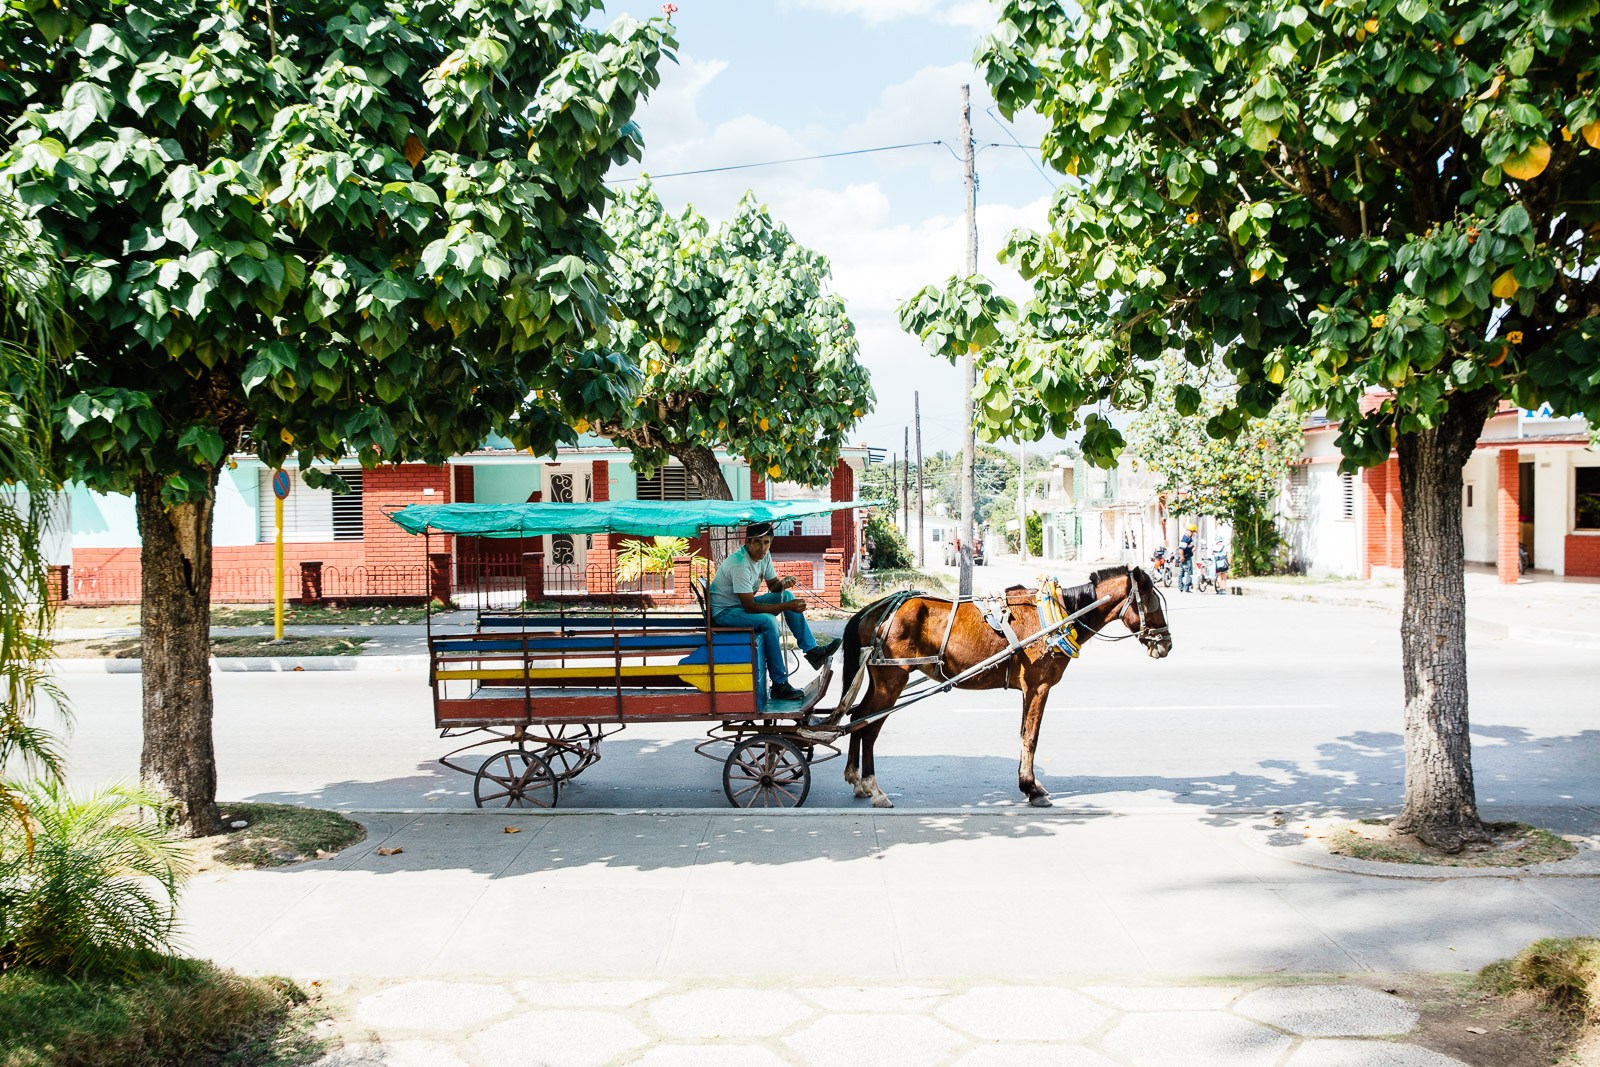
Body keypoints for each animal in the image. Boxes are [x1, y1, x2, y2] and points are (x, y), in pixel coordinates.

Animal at [832, 566, 1171, 809]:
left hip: (880, 680)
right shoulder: (1038, 686)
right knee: (868, 728)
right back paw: (875, 789)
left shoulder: (1029, 689)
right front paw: (1032, 789)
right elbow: (1031, 737)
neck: (1058, 617)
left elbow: (1023, 734)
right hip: (892, 680)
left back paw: (857, 781)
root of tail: (876, 610)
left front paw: (1029, 785)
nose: (1166, 644)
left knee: (856, 717)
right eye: (1152, 601)